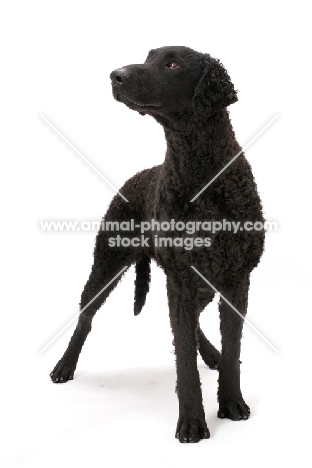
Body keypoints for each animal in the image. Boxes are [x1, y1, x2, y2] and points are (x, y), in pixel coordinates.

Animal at [50, 46, 264, 442]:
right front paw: (192, 422)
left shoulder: (235, 280)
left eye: (173, 63)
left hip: (194, 282)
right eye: (148, 57)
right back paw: (64, 365)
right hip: (108, 261)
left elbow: (231, 353)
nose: (115, 75)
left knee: (193, 324)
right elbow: (184, 361)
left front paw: (231, 403)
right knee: (85, 317)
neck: (201, 176)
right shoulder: (181, 280)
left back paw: (209, 353)